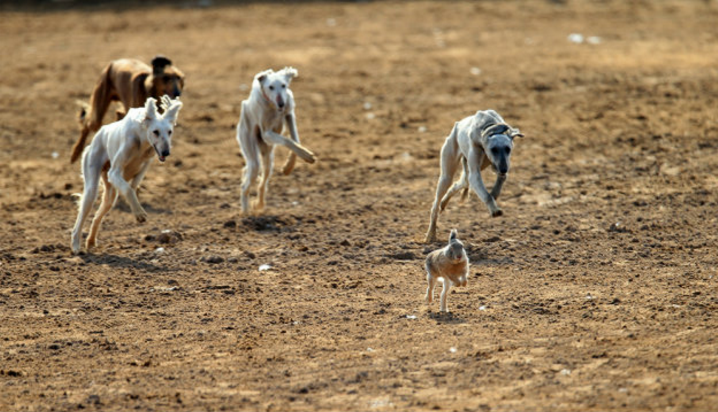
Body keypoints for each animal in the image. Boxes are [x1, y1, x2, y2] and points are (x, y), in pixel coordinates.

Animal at [71, 95, 183, 254]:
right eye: (155, 131)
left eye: (169, 131)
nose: (166, 152)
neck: (142, 139)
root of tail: (98, 135)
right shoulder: (114, 172)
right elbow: (128, 189)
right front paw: (139, 214)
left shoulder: (146, 163)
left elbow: (134, 185)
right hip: (92, 186)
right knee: (81, 218)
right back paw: (76, 246)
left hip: (110, 196)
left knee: (97, 216)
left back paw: (91, 241)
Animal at [238, 66, 316, 214]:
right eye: (271, 87)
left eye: (284, 85)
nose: (281, 103)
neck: (273, 106)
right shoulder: (267, 133)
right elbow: (287, 140)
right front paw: (306, 156)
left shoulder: (289, 114)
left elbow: (295, 139)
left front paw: (290, 166)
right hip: (251, 149)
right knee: (245, 186)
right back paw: (245, 212)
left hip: (268, 157)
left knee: (261, 181)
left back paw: (259, 204)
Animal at [424, 111, 524, 243]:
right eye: (493, 149)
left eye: (508, 149)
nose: (504, 169)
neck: (490, 125)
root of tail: (458, 124)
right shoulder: (475, 172)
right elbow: (486, 194)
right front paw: (494, 209)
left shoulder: (497, 166)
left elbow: (500, 181)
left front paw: (494, 194)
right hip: (446, 175)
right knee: (436, 205)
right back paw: (431, 234)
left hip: (467, 174)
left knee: (459, 184)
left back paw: (444, 202)